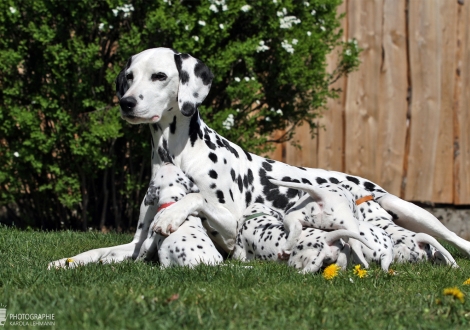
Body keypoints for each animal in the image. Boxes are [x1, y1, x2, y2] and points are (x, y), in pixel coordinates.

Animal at [233, 204, 372, 274]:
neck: (257, 217)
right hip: (342, 255)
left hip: (299, 258)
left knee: (311, 267)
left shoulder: (240, 252)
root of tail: (326, 237)